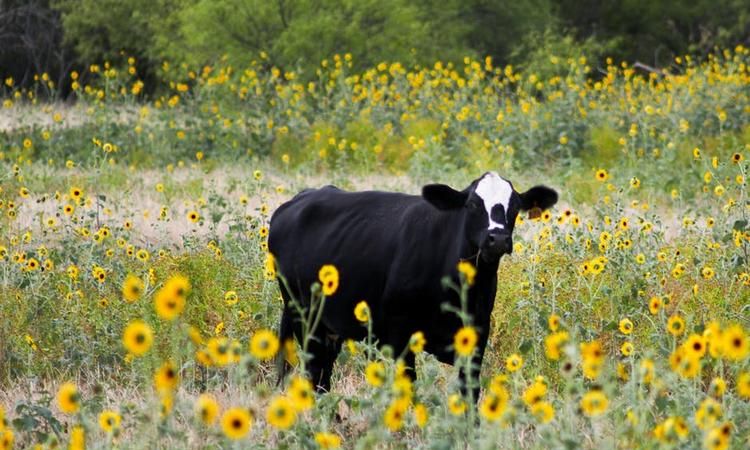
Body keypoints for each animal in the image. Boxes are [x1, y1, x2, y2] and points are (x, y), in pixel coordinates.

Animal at [270, 171, 560, 398]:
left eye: (515, 206)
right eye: (472, 205)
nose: (497, 239)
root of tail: (300, 198)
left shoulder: (478, 332)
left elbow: (470, 392)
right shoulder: (400, 334)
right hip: (304, 318)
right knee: (314, 373)